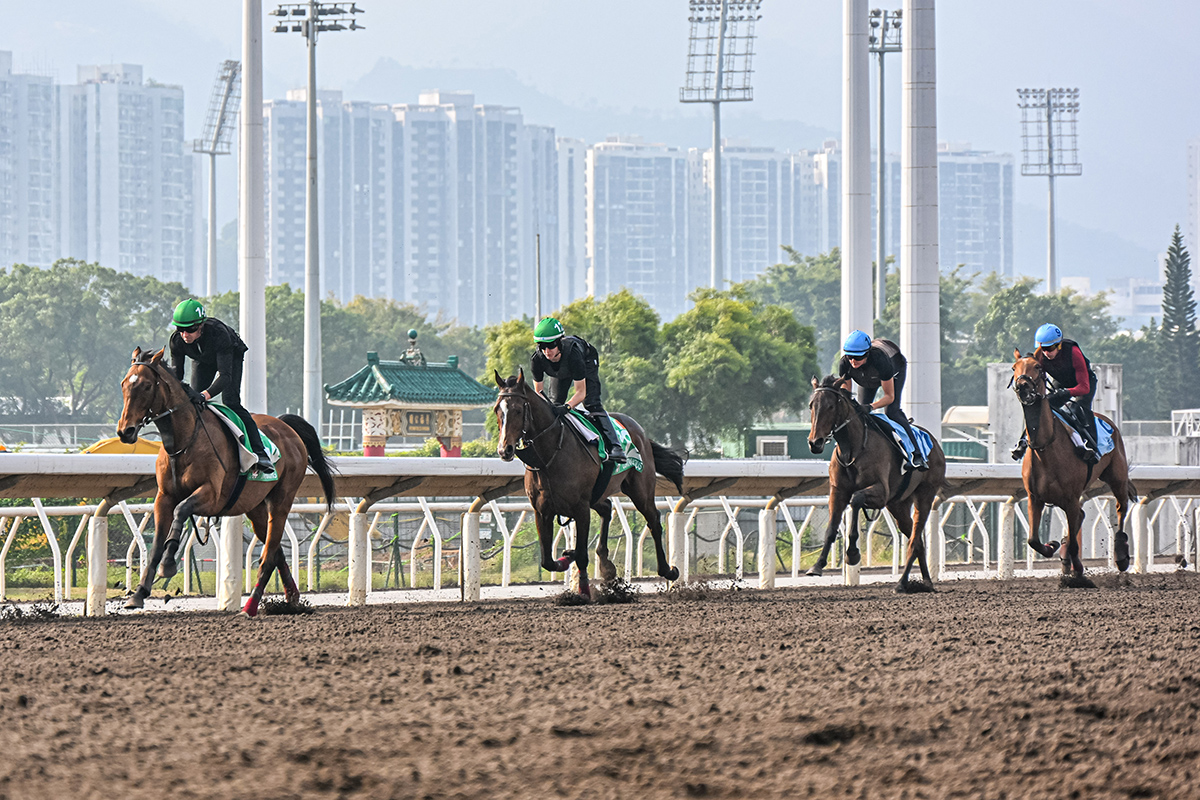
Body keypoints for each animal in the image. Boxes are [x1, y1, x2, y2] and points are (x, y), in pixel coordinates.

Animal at [115, 347, 338, 618]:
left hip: (282, 500)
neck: (184, 442)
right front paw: (138, 594)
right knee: (276, 553)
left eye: (147, 386)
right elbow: (157, 543)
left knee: (268, 556)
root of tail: (287, 427)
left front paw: (168, 565)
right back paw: (292, 601)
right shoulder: (164, 497)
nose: (125, 431)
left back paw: (251, 606)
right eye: (124, 383)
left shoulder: (212, 496)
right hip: (255, 508)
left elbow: (182, 510)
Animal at [492, 371, 686, 597]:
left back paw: (668, 570)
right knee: (607, 508)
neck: (549, 456)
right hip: (598, 494)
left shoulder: (581, 508)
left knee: (653, 520)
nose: (504, 450)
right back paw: (605, 564)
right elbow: (547, 560)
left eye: (517, 409)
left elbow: (583, 555)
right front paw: (568, 556)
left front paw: (583, 590)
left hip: (640, 490)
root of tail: (642, 433)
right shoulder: (541, 510)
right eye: (497, 410)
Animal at [806, 371, 945, 592]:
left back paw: (901, 583)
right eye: (811, 405)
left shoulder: (881, 493)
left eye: (830, 406)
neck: (852, 449)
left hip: (925, 495)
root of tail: (935, 444)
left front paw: (852, 553)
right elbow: (831, 528)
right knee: (917, 542)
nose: (815, 443)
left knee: (915, 540)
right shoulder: (837, 492)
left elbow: (856, 499)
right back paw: (926, 582)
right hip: (898, 504)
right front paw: (817, 566)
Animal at [1008, 350, 1128, 587]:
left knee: (1121, 508)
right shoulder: (1035, 497)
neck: (1045, 447)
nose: (1022, 386)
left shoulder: (1071, 498)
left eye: (1037, 367)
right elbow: (1033, 540)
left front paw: (1079, 575)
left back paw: (1121, 555)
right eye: (1014, 368)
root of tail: (1108, 420)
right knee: (1080, 518)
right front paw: (1053, 546)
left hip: (1118, 477)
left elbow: (1074, 543)